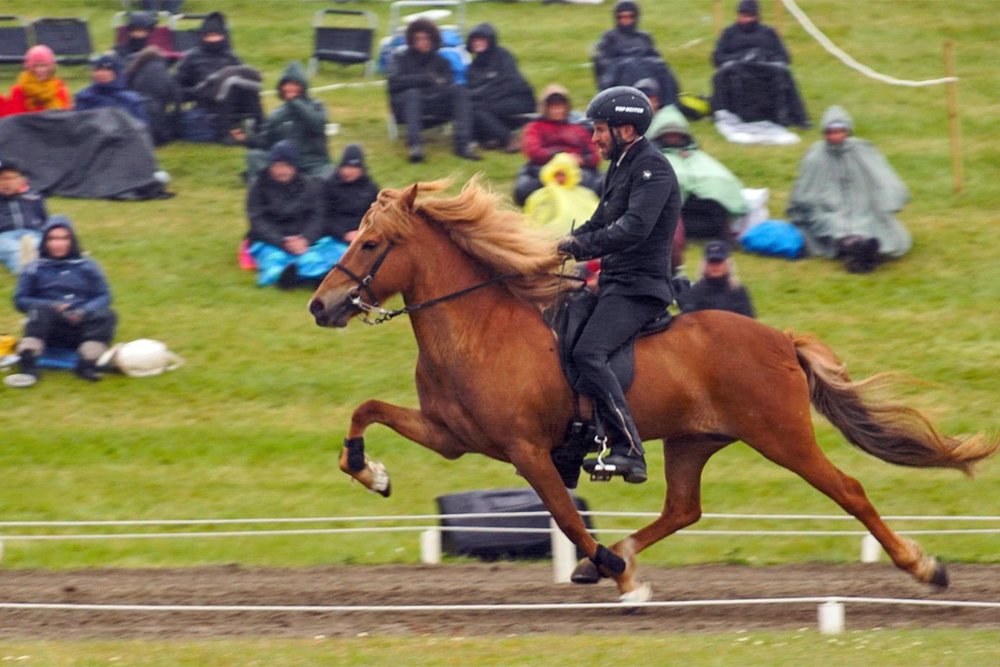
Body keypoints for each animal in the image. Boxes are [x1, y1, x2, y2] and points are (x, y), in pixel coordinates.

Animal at [308, 180, 996, 604]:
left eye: (371, 243)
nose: (321, 305)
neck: (478, 328)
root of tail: (779, 338)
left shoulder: (527, 451)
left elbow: (563, 512)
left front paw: (621, 580)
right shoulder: (451, 436)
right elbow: (367, 410)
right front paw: (370, 473)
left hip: (782, 437)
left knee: (848, 491)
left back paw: (925, 567)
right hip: (694, 441)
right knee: (683, 509)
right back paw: (615, 555)